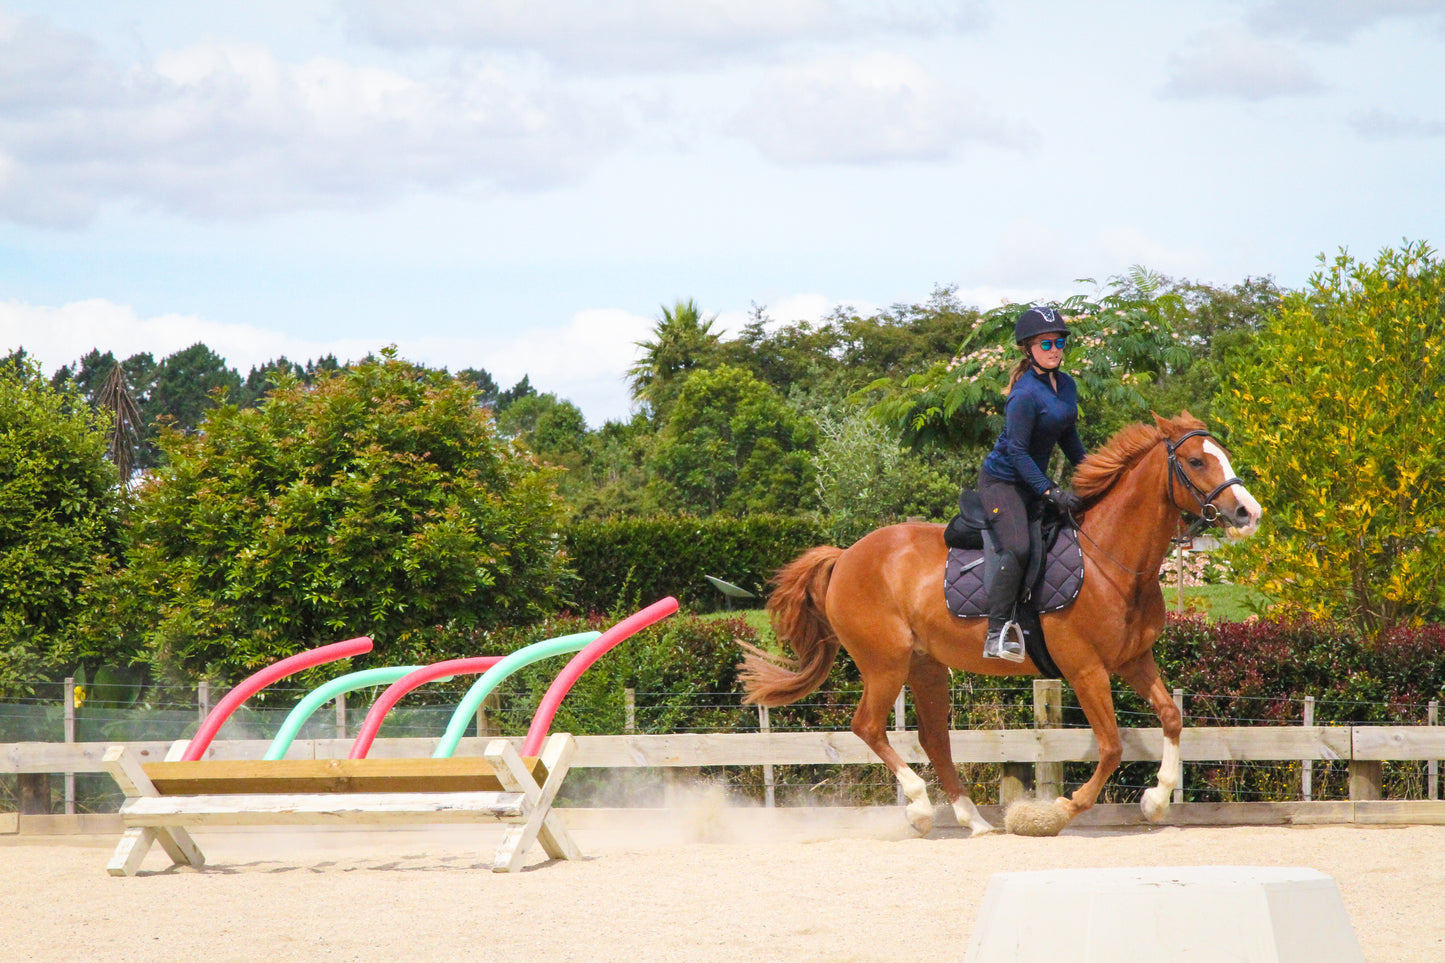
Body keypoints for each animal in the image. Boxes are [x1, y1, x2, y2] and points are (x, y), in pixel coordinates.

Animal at [745, 410, 1265, 832]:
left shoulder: (1133, 659)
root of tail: (845, 556)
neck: (1108, 559)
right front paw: (1061, 809)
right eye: (1196, 462)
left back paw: (972, 820)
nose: (1249, 512)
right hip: (884, 663)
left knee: (933, 738)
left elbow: (1172, 717)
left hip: (925, 666)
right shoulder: (1086, 669)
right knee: (868, 726)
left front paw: (1156, 800)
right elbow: (1112, 745)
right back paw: (919, 807)